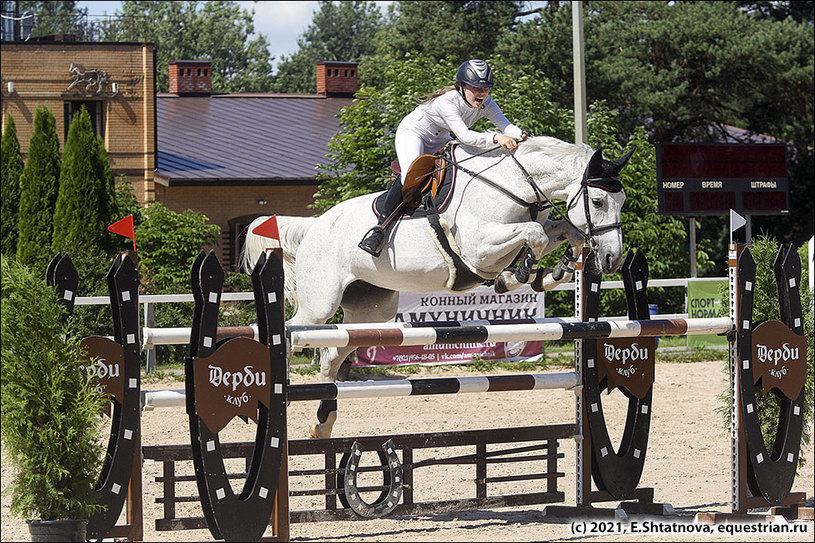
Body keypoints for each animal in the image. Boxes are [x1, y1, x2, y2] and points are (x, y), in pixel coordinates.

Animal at [241, 138, 632, 440]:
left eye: (623, 202)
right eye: (598, 201)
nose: (612, 258)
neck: (514, 186)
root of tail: (314, 226)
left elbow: (562, 232)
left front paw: (556, 269)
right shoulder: (478, 249)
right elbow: (534, 235)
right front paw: (519, 274)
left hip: (371, 312)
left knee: (331, 358)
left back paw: (323, 424)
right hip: (319, 304)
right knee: (293, 335)